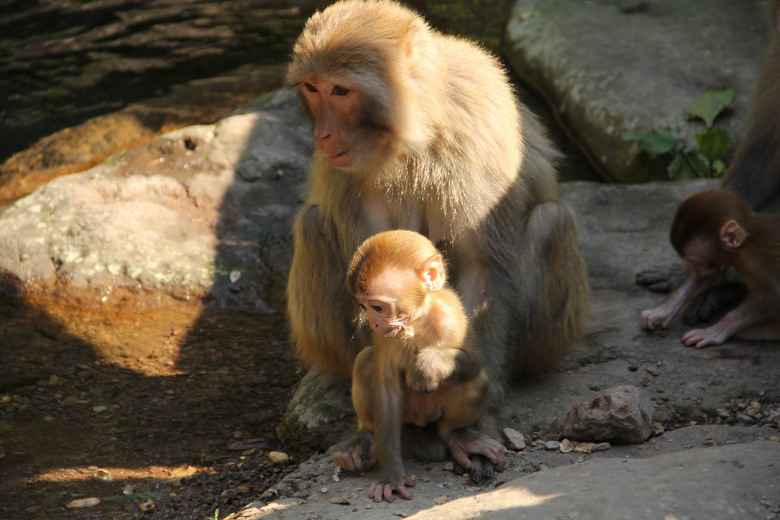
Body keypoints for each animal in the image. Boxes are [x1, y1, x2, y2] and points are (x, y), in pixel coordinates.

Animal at [284, 0, 584, 456]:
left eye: (340, 91)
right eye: (312, 88)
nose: (323, 135)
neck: (413, 135)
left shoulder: (475, 136)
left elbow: (482, 268)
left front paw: (475, 413)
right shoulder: (346, 173)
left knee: (552, 219)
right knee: (315, 224)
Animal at [336, 230, 506, 502]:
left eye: (378, 307)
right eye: (363, 306)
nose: (373, 324)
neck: (417, 320)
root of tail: (421, 418)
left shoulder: (451, 317)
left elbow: (473, 360)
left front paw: (426, 366)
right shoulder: (386, 337)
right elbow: (386, 390)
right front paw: (392, 477)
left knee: (475, 383)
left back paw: (456, 435)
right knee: (365, 360)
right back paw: (365, 439)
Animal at [640, 189, 780, 348]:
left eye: (696, 262)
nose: (697, 269)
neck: (746, 241)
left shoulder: (753, 262)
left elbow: (773, 295)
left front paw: (716, 331)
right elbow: (705, 278)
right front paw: (663, 310)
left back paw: (766, 332)